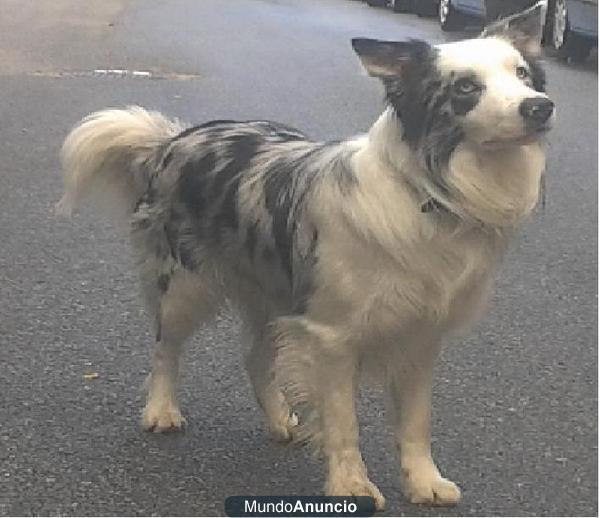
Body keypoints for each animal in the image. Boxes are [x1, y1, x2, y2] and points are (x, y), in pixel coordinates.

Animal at [57, 2, 552, 510]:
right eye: (466, 87)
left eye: (523, 74)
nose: (539, 107)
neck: (427, 193)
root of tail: (173, 139)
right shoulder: (333, 337)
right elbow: (344, 423)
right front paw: (352, 486)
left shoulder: (420, 334)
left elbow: (416, 421)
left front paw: (423, 481)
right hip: (183, 286)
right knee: (165, 347)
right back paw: (161, 409)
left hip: (270, 291)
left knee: (255, 357)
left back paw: (277, 419)